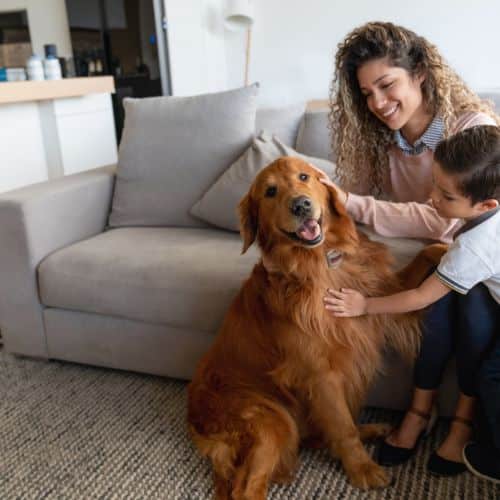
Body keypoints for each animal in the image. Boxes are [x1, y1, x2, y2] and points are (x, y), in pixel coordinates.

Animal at [188, 158, 422, 498]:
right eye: (270, 191)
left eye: (304, 176)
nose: (301, 205)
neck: (320, 263)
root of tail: (193, 417)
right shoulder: (319, 374)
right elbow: (343, 426)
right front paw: (362, 468)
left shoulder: (383, 292)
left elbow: (425, 261)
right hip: (272, 420)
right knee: (246, 487)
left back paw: (372, 428)